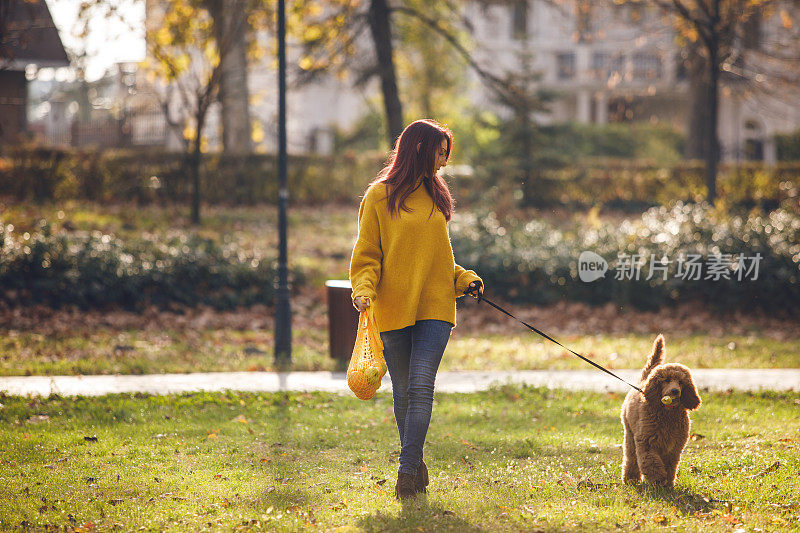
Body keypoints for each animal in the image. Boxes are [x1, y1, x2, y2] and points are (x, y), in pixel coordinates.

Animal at [620, 334, 700, 488]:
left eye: (681, 382)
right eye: (666, 380)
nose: (675, 391)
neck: (667, 413)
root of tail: (642, 380)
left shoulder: (674, 447)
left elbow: (670, 465)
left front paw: (668, 483)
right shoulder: (647, 442)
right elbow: (651, 462)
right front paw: (658, 479)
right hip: (630, 433)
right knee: (631, 457)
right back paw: (631, 479)